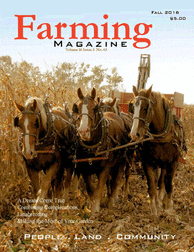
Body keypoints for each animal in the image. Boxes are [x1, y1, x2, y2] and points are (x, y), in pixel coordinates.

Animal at [129, 85, 186, 216]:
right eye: (133, 107)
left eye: (146, 108)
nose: (134, 134)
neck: (161, 135)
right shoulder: (147, 163)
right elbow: (152, 187)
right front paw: (154, 210)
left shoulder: (172, 163)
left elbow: (168, 185)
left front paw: (168, 208)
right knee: (157, 182)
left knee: (163, 182)